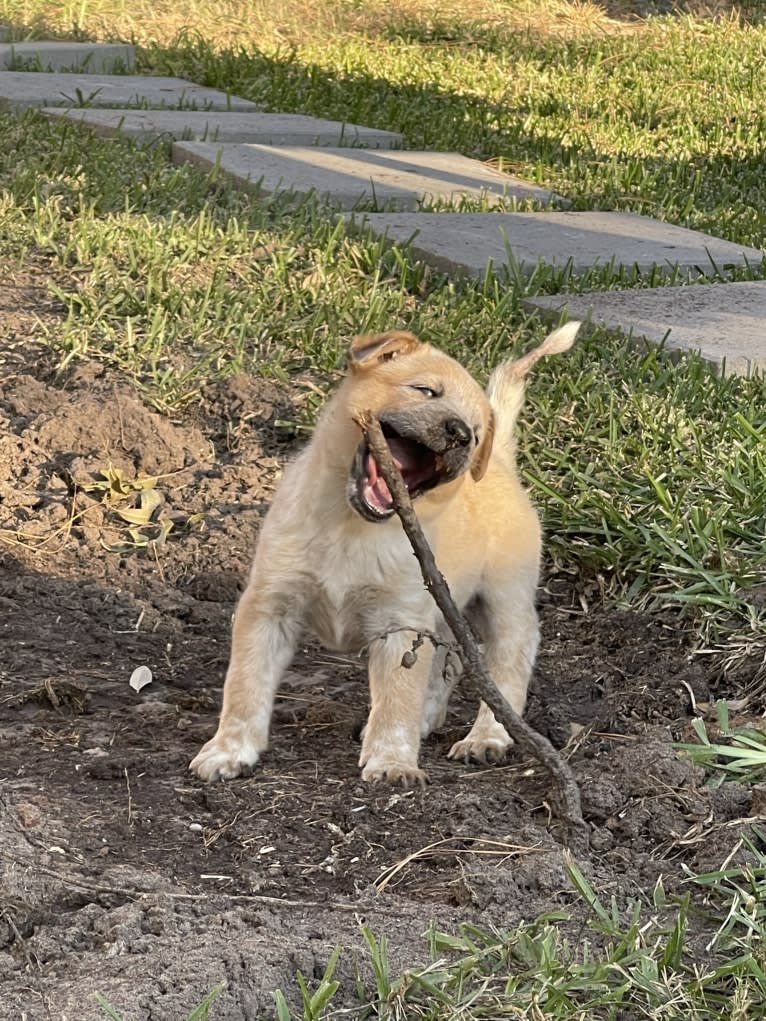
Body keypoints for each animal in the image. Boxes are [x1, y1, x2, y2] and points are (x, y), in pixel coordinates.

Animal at [188, 322, 580, 784]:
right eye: (426, 390)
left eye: (475, 429)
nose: (462, 434)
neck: (351, 528)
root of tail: (500, 460)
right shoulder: (269, 607)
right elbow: (245, 685)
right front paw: (228, 750)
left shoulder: (402, 624)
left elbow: (397, 699)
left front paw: (393, 763)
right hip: (446, 611)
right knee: (449, 659)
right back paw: (430, 720)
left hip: (504, 599)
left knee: (509, 662)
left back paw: (486, 738)